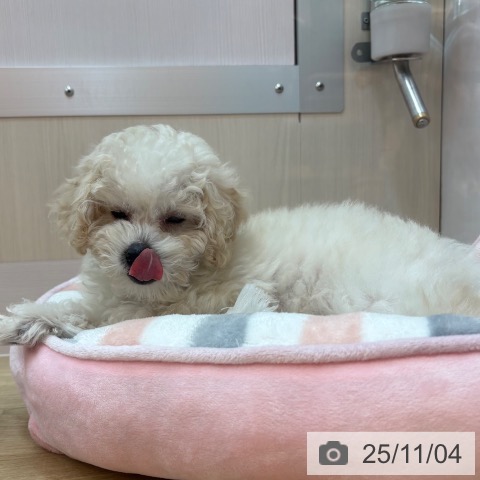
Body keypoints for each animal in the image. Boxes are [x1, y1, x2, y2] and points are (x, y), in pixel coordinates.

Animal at [1, 123, 480, 345]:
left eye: (175, 219)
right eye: (117, 213)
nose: (137, 252)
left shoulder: (193, 302)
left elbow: (116, 316)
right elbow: (86, 305)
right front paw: (27, 319)